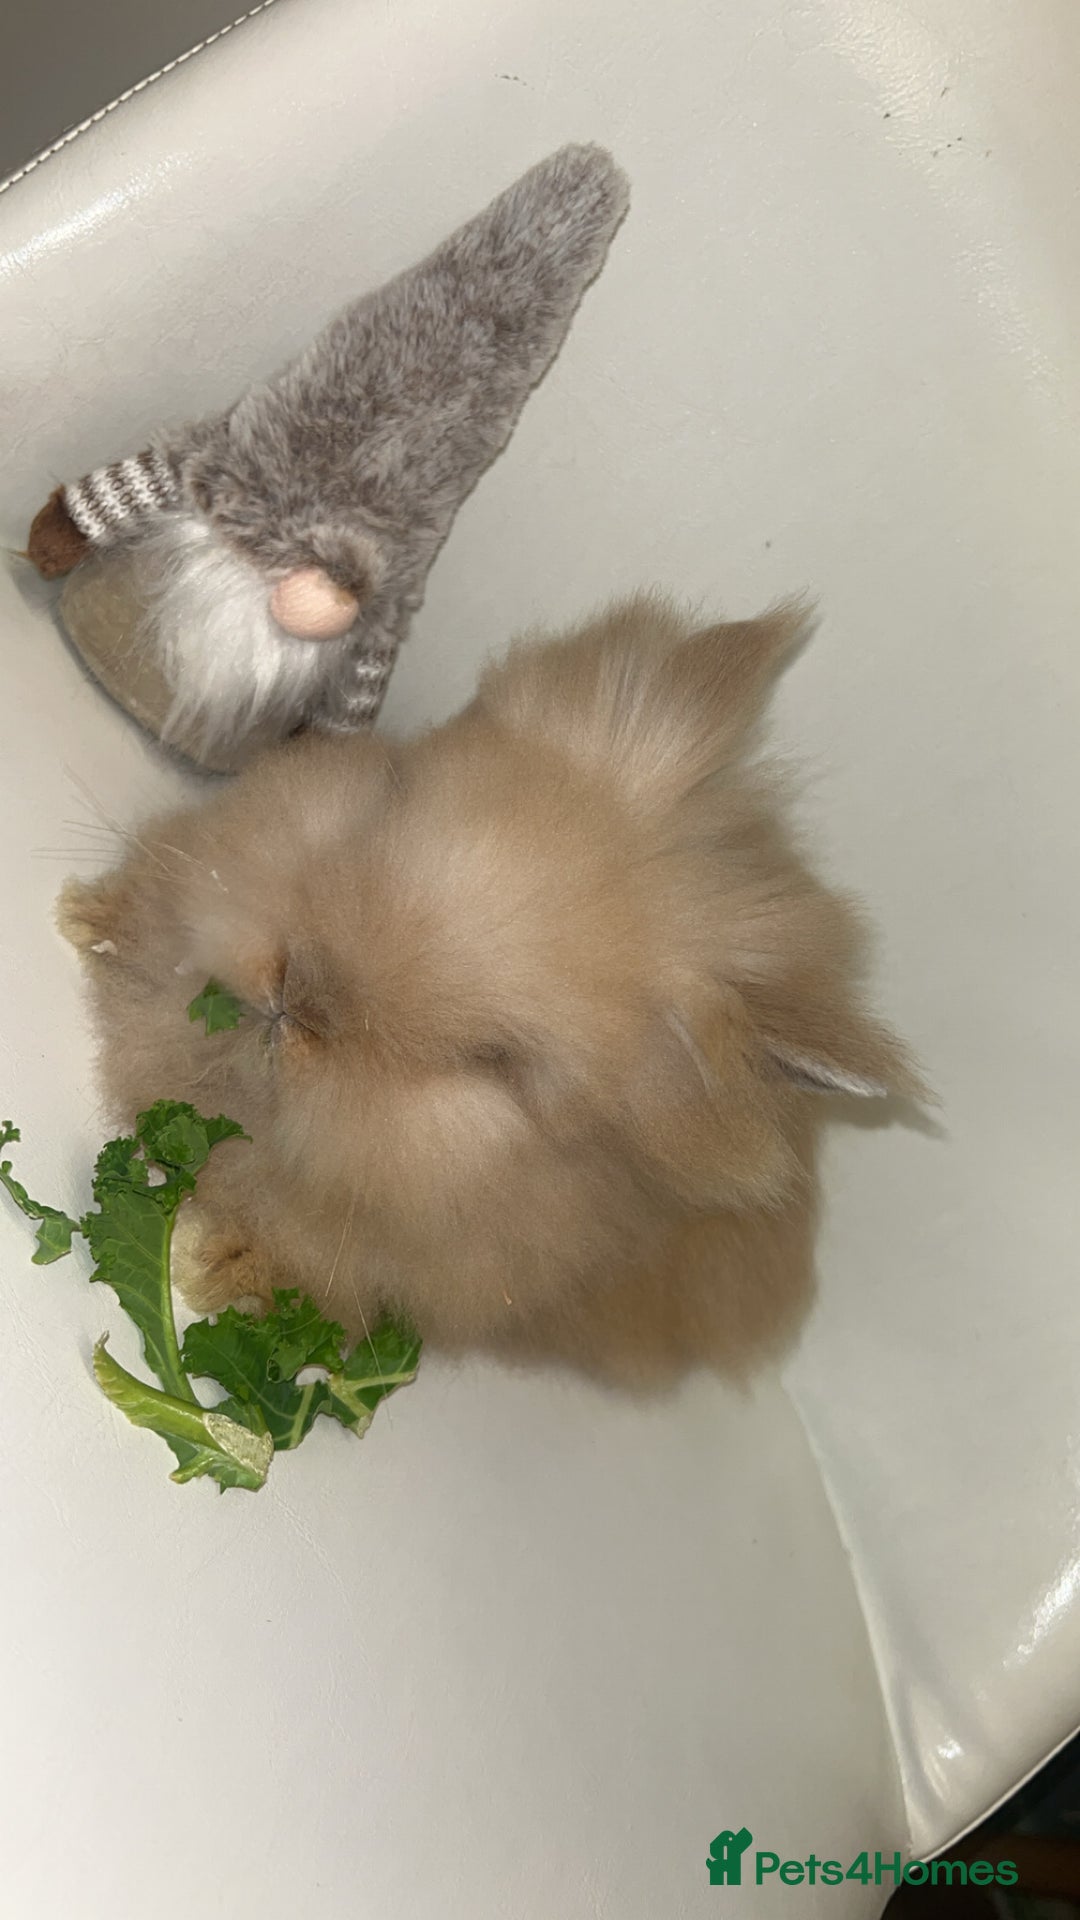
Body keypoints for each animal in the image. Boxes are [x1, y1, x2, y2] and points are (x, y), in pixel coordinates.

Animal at [58, 593, 917, 1388]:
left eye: (491, 1060)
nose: (296, 998)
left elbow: (310, 1260)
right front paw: (86, 917)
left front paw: (216, 1267)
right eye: (391, 796)